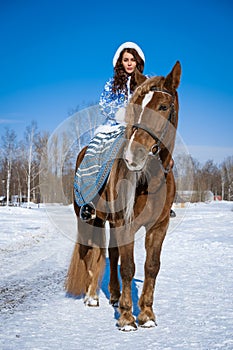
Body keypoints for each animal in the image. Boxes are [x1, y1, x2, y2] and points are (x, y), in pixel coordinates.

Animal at [65, 60, 182, 330]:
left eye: (163, 107)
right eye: (135, 107)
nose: (132, 156)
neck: (150, 179)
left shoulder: (158, 226)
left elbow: (151, 266)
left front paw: (147, 314)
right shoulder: (125, 223)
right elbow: (128, 267)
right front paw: (128, 319)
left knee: (111, 253)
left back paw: (115, 296)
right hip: (90, 219)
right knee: (92, 252)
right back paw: (92, 296)